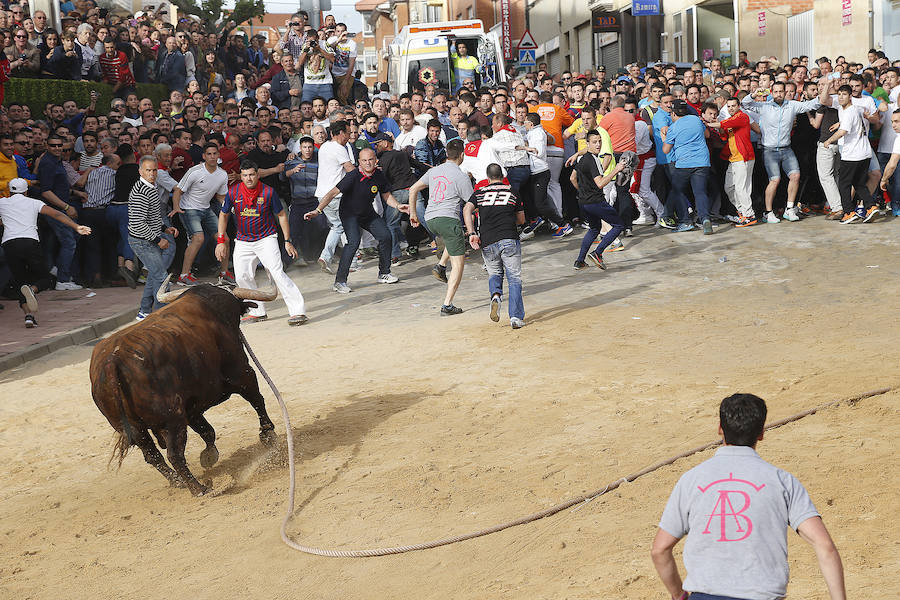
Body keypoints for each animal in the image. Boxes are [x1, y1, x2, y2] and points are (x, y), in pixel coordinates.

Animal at [89, 274, 278, 494]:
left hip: (134, 428)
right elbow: (257, 401)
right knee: (175, 456)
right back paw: (199, 489)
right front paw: (268, 435)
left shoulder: (192, 406)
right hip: (172, 419)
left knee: (153, 456)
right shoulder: (243, 373)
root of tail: (112, 359)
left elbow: (207, 430)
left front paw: (209, 456)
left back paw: (178, 482)